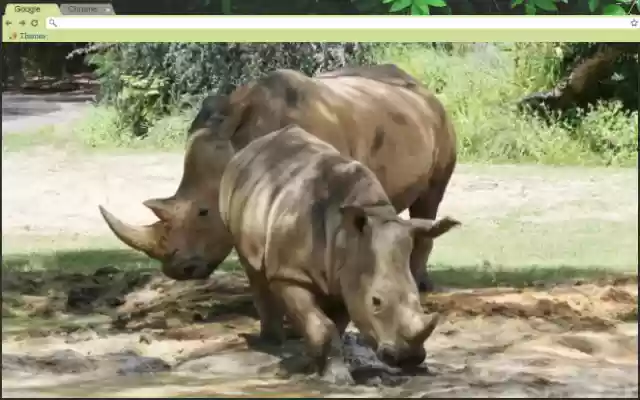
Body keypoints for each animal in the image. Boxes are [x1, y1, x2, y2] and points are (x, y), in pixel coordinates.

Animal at [98, 64, 457, 292]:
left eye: (203, 212)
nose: (178, 272)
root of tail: (421, 87)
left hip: (439, 120)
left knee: (430, 198)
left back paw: (421, 286)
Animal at [217, 124, 460, 385]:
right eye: (376, 301)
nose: (409, 359)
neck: (348, 236)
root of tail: (249, 148)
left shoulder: (347, 274)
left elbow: (333, 325)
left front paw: (316, 365)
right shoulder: (289, 274)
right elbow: (323, 324)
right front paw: (336, 378)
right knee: (253, 269)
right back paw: (272, 343)